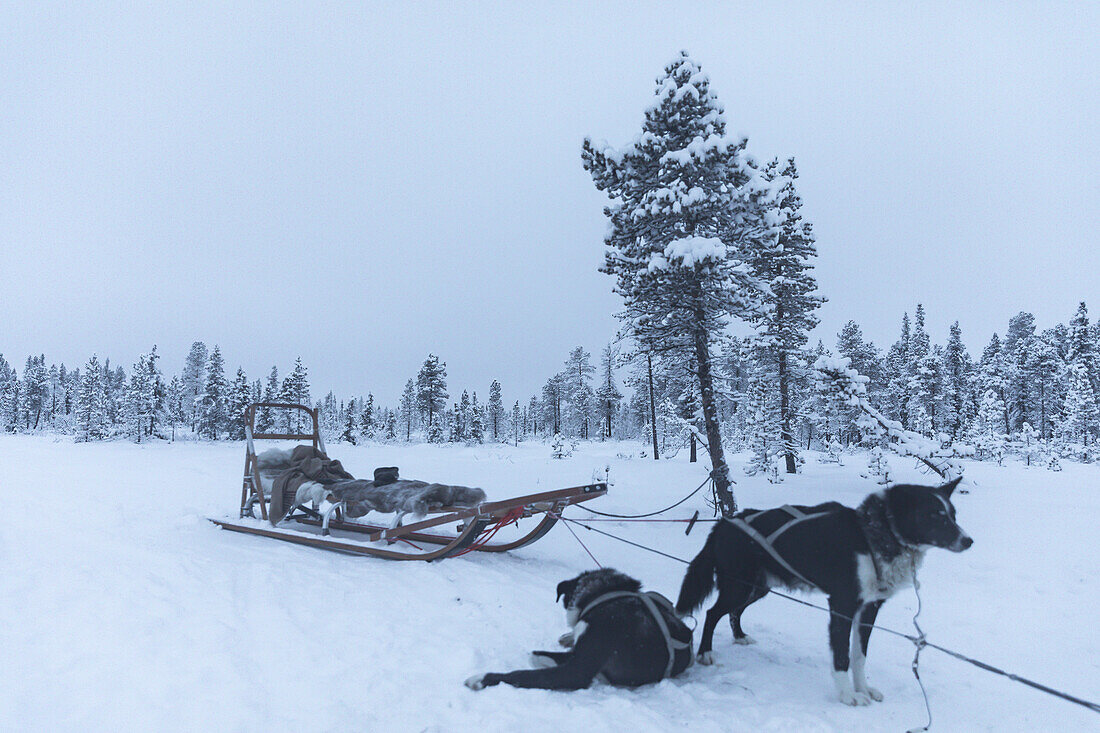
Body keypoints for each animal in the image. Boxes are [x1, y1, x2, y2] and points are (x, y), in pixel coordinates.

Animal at [668, 473, 972, 704]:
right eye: (935, 515)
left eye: (954, 515)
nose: (968, 541)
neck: (872, 537)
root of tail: (724, 523)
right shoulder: (842, 606)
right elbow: (841, 656)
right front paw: (848, 695)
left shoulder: (869, 609)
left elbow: (859, 656)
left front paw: (863, 688)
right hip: (737, 587)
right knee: (712, 613)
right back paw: (705, 653)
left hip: (757, 587)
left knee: (733, 612)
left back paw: (740, 636)